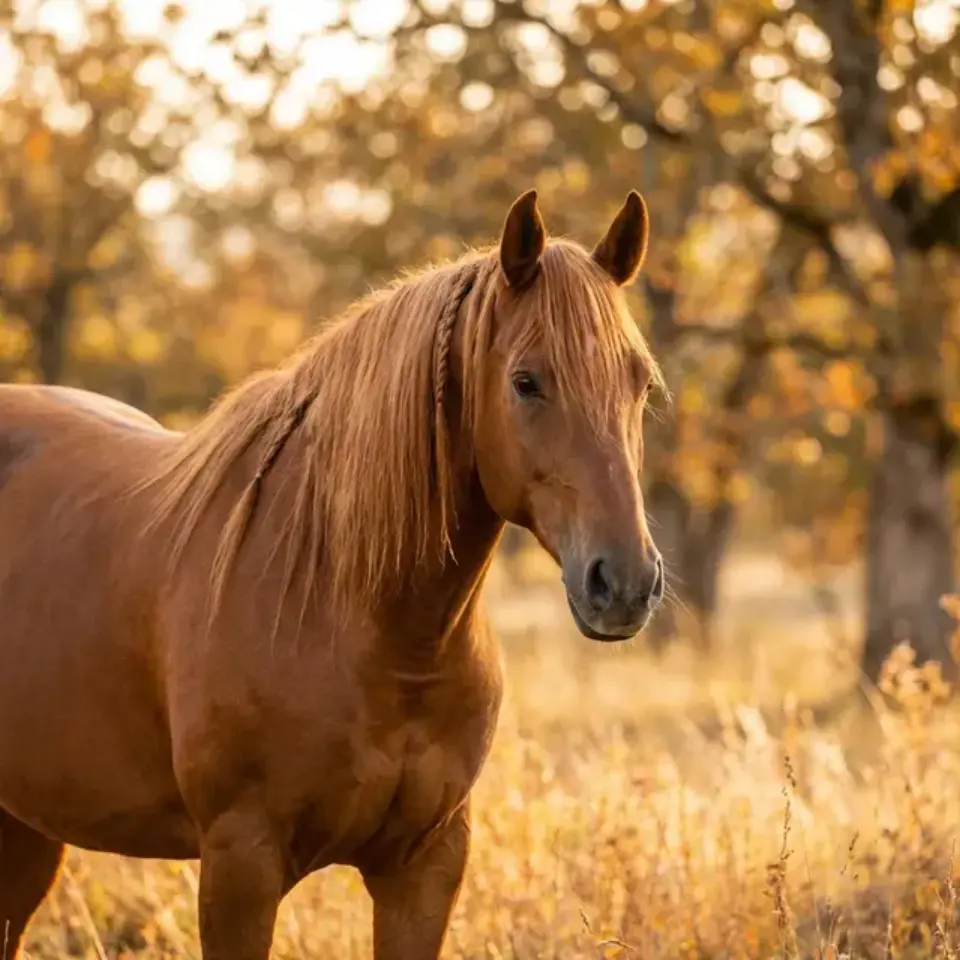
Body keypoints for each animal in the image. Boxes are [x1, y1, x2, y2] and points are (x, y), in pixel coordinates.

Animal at [0, 188, 665, 959]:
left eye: (639, 382)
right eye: (526, 382)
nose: (624, 584)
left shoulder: (425, 866)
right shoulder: (241, 865)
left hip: (27, 828)